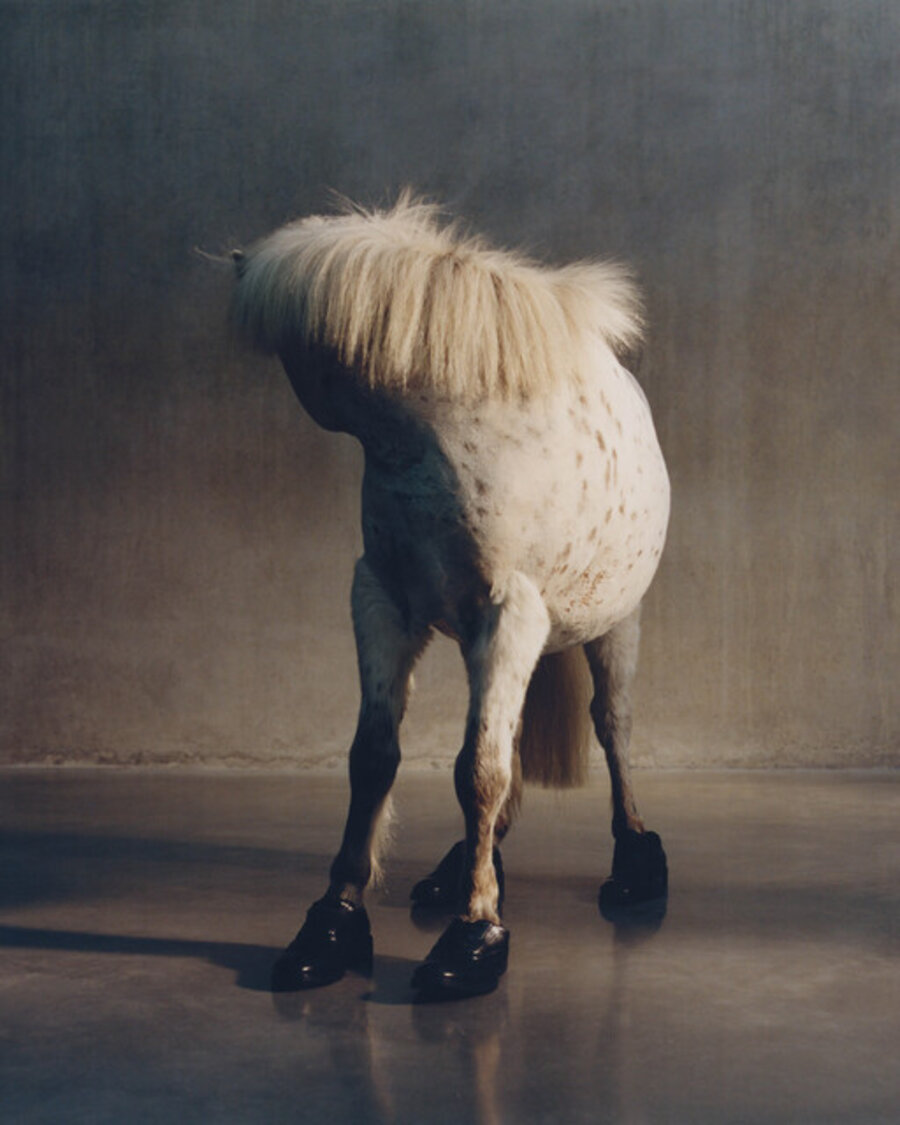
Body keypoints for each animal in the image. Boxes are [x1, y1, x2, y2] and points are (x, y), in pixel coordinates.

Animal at [230, 192, 670, 998]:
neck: (439, 438)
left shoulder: (509, 614)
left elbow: (480, 771)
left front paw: (475, 937)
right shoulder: (379, 600)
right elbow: (376, 757)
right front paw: (334, 923)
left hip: (611, 622)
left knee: (612, 725)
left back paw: (635, 860)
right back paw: (465, 864)